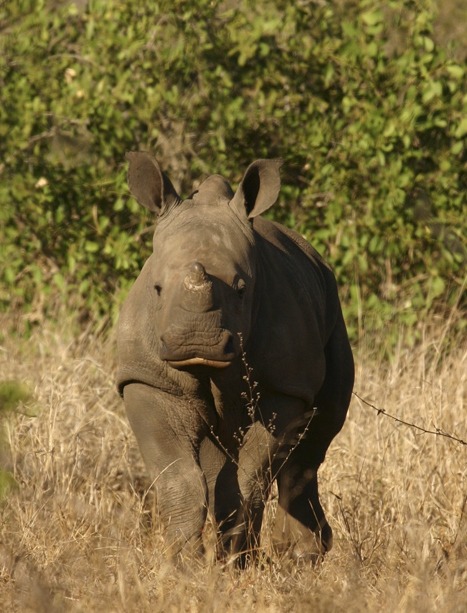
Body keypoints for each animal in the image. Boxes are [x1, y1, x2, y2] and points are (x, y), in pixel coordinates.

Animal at [117, 152, 354, 560]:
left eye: (243, 289)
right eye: (157, 288)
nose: (196, 342)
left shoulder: (283, 387)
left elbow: (245, 480)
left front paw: (232, 564)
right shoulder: (146, 377)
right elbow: (180, 480)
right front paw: (185, 564)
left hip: (333, 314)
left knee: (309, 449)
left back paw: (301, 557)